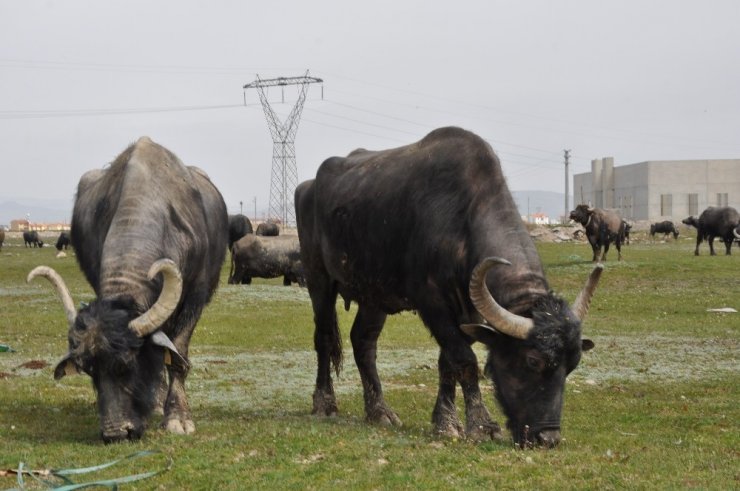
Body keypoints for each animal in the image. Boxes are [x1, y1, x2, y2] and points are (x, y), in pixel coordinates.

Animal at [27, 136, 227, 444]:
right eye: (89, 370)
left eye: (126, 364)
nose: (115, 433)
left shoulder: (195, 296)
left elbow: (177, 356)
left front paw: (178, 417)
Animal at [294, 128, 600, 450]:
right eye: (532, 360)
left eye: (572, 365)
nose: (548, 438)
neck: (461, 220)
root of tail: (308, 187)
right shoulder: (432, 304)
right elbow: (465, 360)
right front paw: (481, 425)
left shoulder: (468, 313)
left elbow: (448, 363)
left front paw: (445, 421)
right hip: (318, 278)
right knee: (324, 337)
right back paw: (324, 403)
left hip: (373, 295)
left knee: (363, 341)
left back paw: (379, 411)